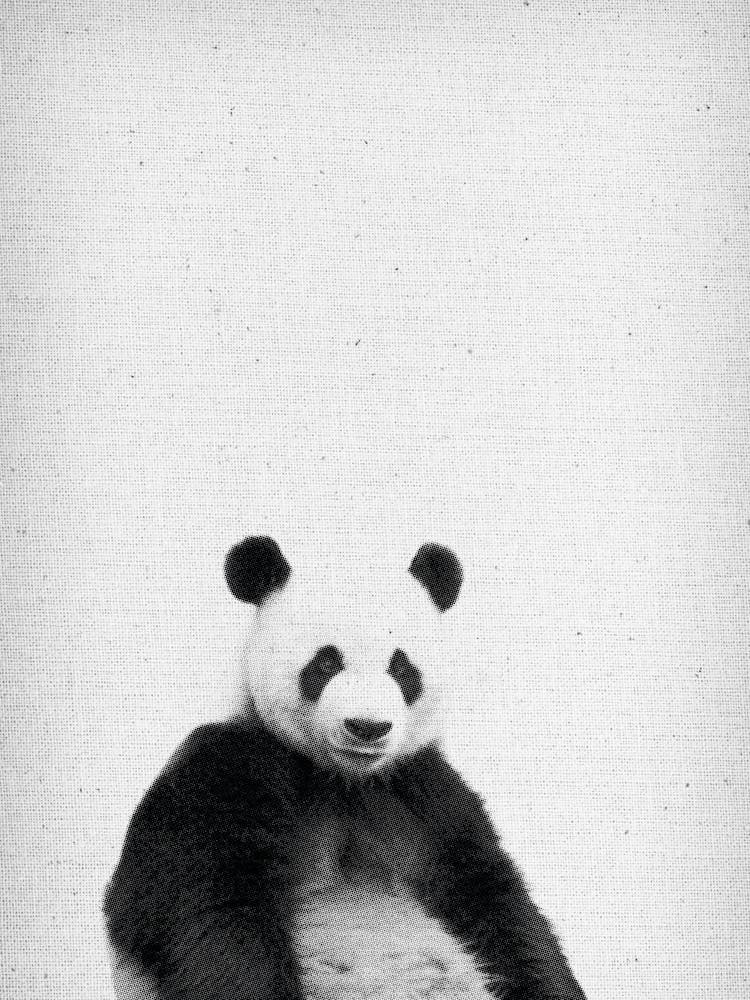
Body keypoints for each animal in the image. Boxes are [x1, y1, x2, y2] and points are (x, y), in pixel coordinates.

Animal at [104, 536, 586, 1000]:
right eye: (326, 662)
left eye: (401, 667)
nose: (367, 727)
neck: (342, 780)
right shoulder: (225, 769)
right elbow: (212, 902)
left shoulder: (424, 793)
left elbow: (494, 899)